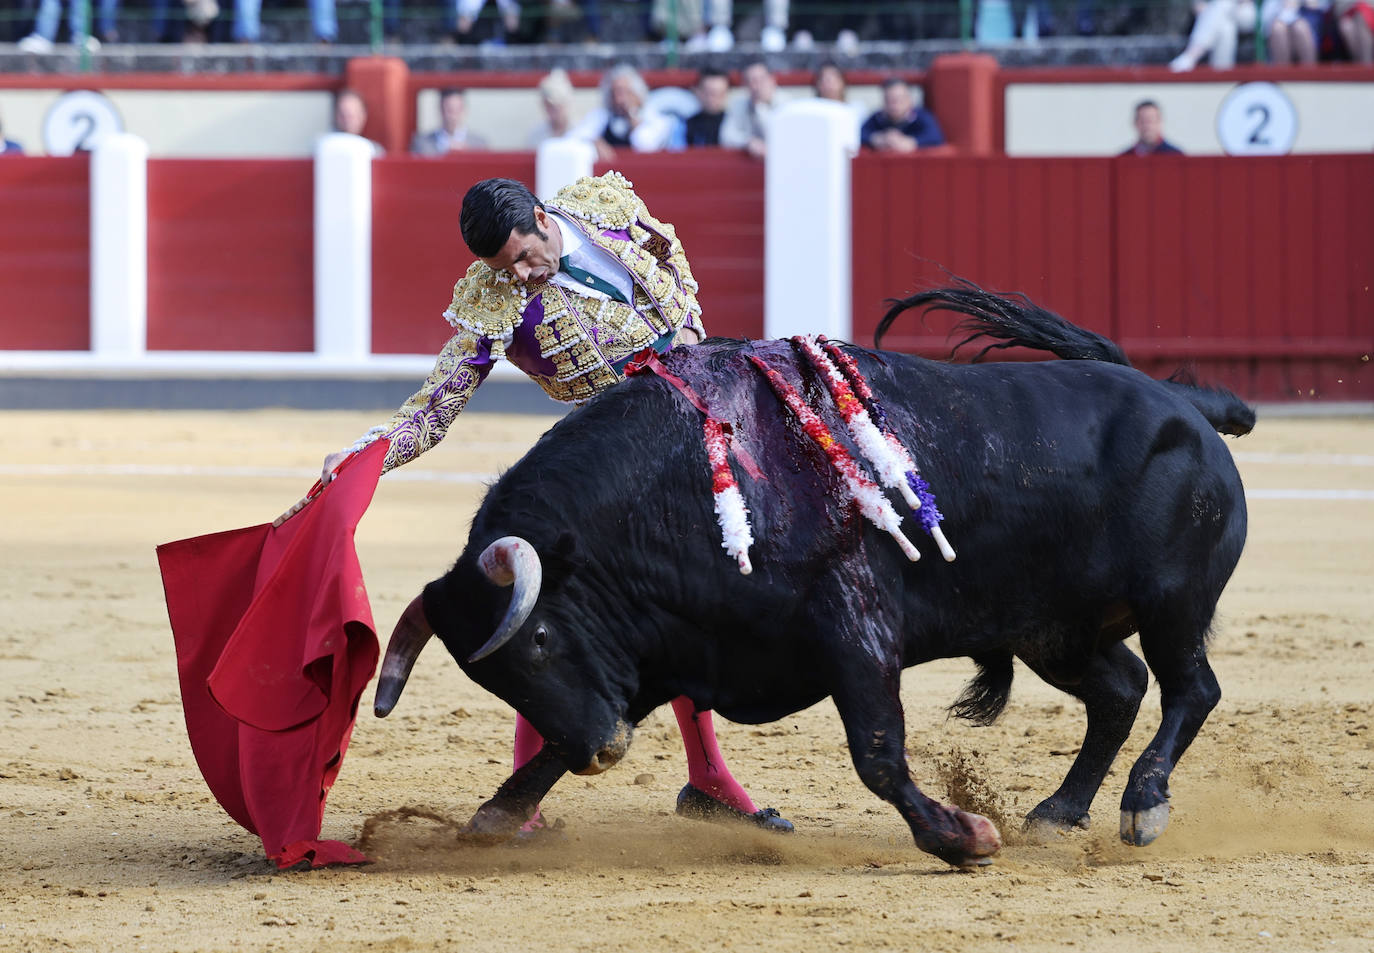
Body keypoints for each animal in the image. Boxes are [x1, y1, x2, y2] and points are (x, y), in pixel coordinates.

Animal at [370, 280, 1253, 867]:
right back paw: (1059, 811)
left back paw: (1143, 807)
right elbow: (549, 750)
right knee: (1120, 689)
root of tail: (1181, 402)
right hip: (1054, 628)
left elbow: (878, 750)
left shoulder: (853, 628)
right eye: (494, 677)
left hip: (1171, 604)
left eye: (541, 640)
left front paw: (961, 837)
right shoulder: (667, 650)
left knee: (1191, 687)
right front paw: (492, 817)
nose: (603, 750)